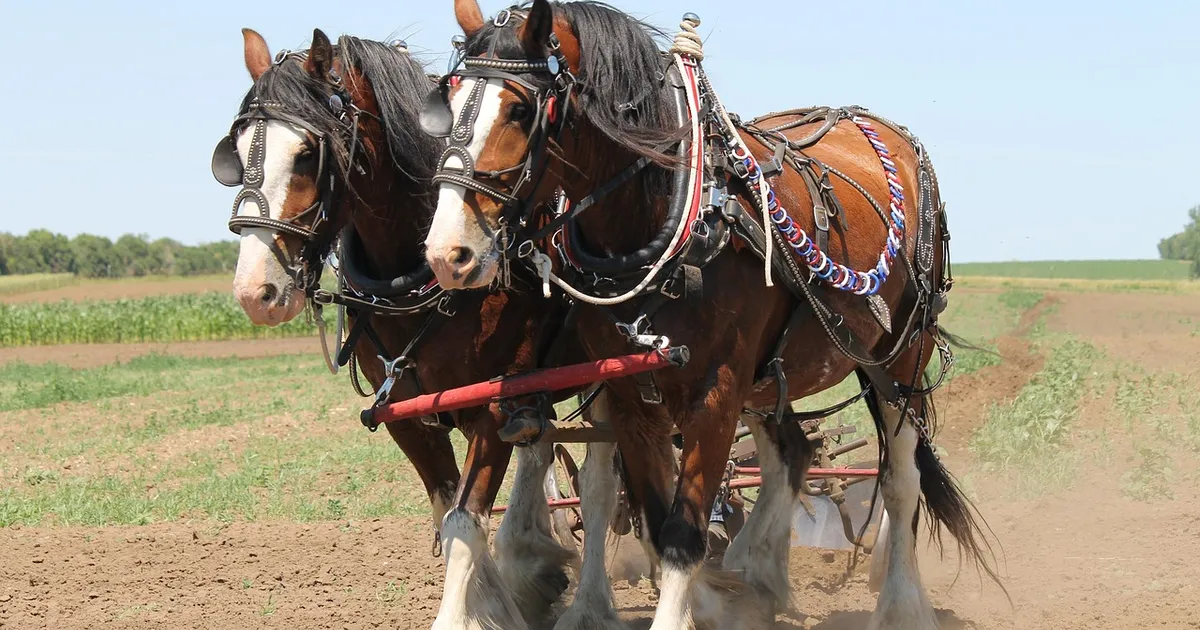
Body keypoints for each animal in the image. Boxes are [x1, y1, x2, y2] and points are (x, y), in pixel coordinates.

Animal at [214, 27, 626, 629]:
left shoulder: (492, 408)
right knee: (544, 451)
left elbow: (463, 524)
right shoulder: (408, 418)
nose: (254, 291)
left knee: (599, 487)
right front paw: (498, 604)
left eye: (308, 154)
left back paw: (591, 603)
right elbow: (445, 513)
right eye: (237, 152)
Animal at [422, 2, 999, 629]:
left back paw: (900, 603)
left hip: (900, 360)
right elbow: (657, 522)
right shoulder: (631, 398)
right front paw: (725, 597)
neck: (671, 216)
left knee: (899, 479)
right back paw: (759, 577)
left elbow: (683, 535)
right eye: (448, 101)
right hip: (775, 377)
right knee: (790, 455)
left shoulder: (716, 393)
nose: (447, 253)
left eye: (521, 109)